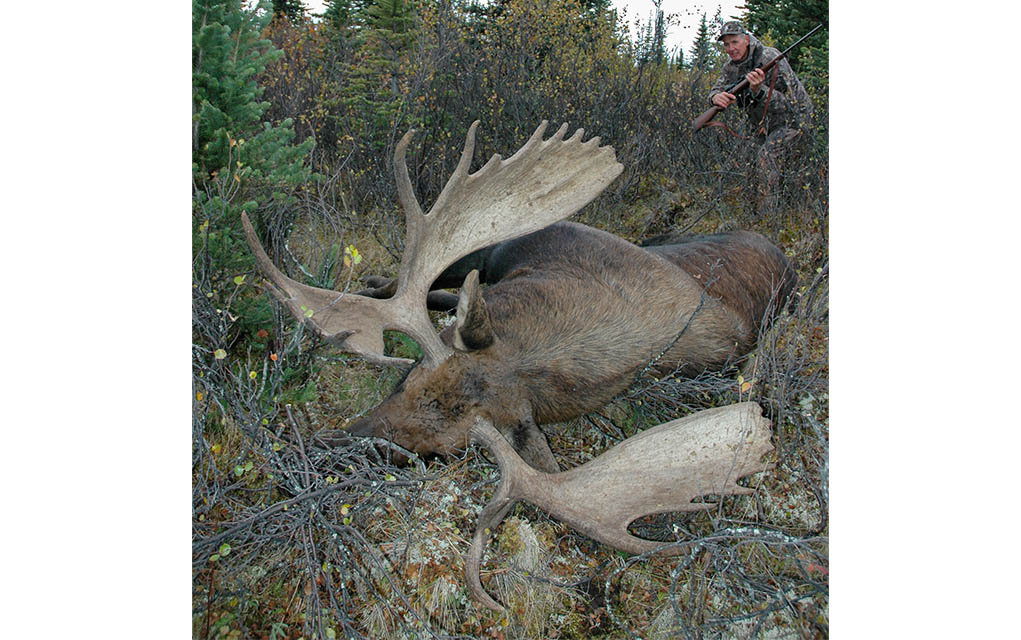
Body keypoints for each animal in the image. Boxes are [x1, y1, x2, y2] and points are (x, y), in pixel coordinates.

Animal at [240, 121, 796, 471]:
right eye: (405, 378)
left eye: (435, 452)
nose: (319, 448)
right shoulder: (513, 245)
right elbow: (429, 286)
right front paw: (374, 287)